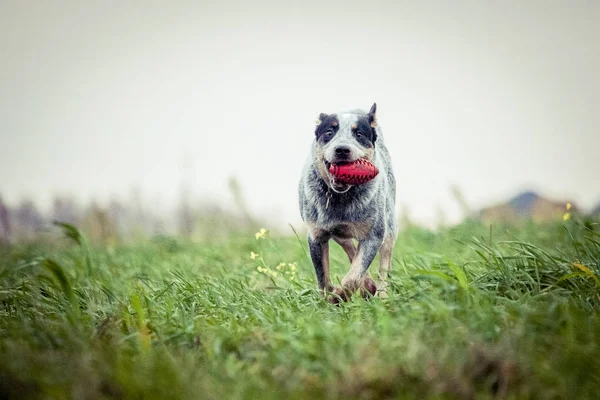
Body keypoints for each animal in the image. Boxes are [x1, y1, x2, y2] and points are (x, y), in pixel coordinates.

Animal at [296, 103, 398, 304]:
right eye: (329, 132)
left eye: (359, 134)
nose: (342, 149)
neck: (340, 198)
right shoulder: (316, 235)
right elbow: (323, 277)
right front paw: (327, 300)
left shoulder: (374, 235)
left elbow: (354, 276)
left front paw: (338, 296)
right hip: (337, 231)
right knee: (349, 246)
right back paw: (368, 286)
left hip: (389, 225)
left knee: (383, 263)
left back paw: (380, 294)